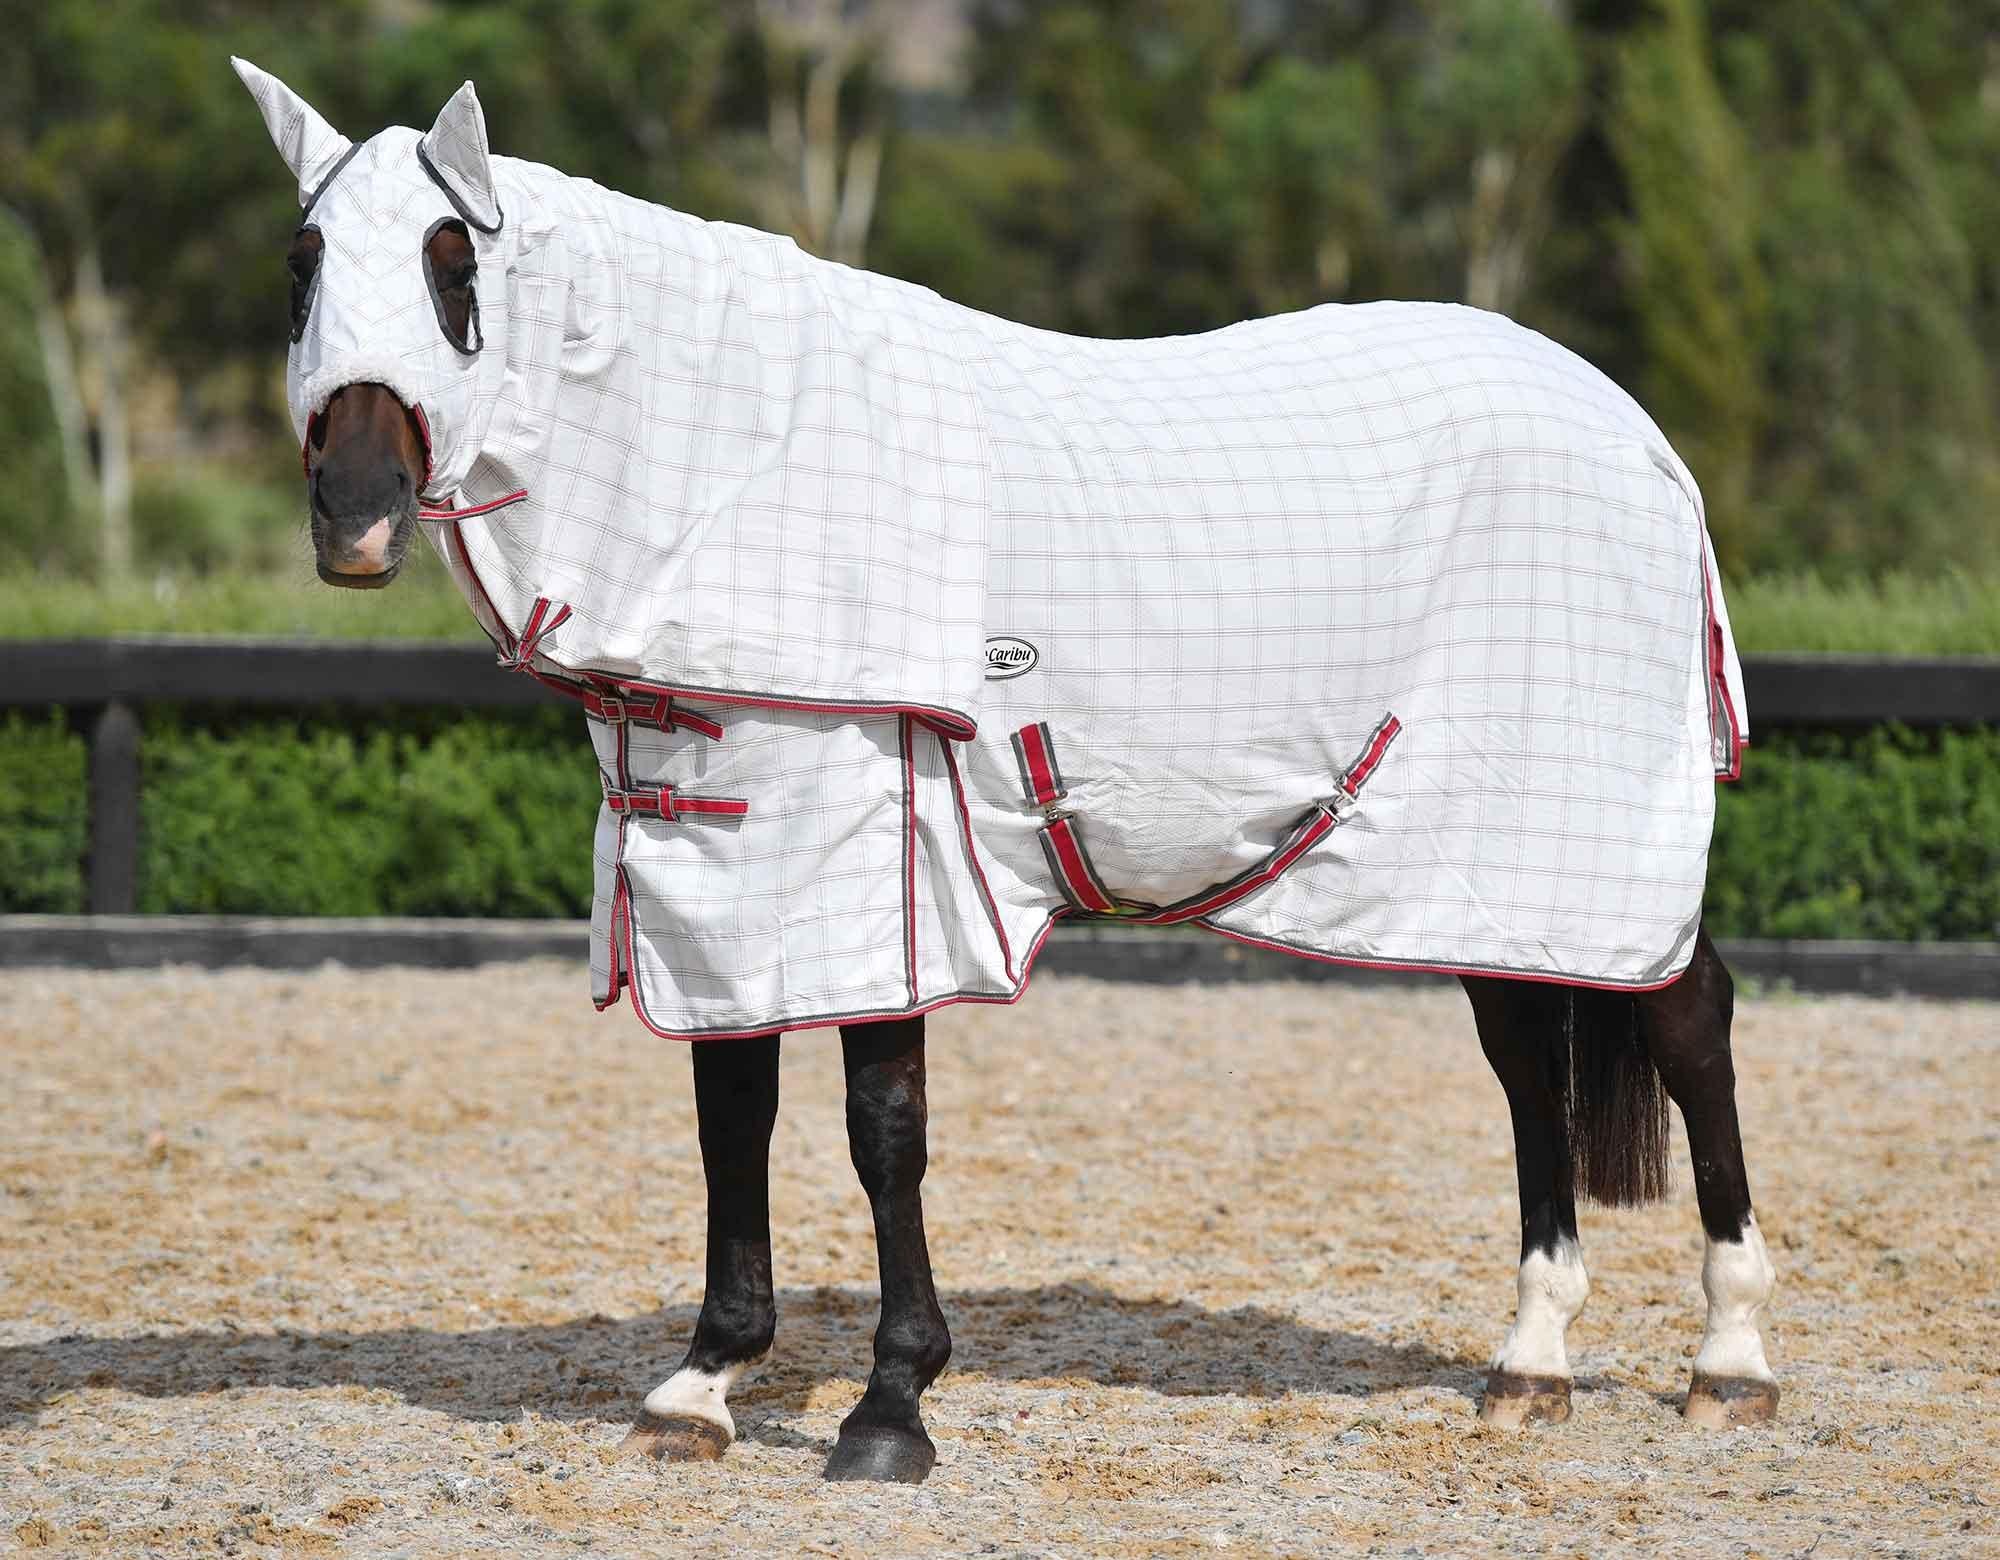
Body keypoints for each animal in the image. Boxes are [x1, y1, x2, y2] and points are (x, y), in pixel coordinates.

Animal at [231, 58, 1777, 1484]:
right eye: (302, 263)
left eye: (454, 265)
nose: (355, 516)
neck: (743, 471)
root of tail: (1638, 438)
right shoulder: (717, 869)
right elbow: (731, 1113)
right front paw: (703, 1382)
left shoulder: (878, 856)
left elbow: (880, 1129)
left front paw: (889, 1407)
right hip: (1473, 866)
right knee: (1528, 1060)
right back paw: (1531, 1361)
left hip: (1589, 846)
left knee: (1688, 1020)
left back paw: (1730, 1363)